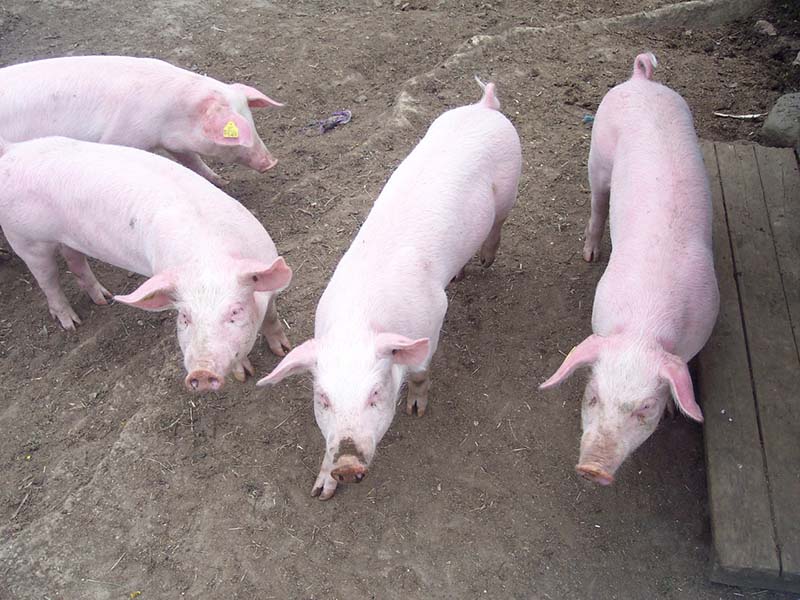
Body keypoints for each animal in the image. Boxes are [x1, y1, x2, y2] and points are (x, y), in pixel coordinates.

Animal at [0, 57, 282, 188]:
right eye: (236, 134)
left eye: (253, 123)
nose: (272, 162)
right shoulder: (121, 136)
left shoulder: (174, 142)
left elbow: (192, 160)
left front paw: (222, 182)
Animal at [0, 135, 294, 390]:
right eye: (184, 317)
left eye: (235, 311)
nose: (201, 371)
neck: (208, 257)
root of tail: (12, 150)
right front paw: (244, 374)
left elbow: (271, 317)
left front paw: (283, 349)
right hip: (26, 241)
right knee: (48, 281)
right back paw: (72, 323)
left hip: (68, 239)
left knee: (75, 260)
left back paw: (104, 298)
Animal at [253, 81, 520, 502]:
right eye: (323, 399)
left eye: (375, 394)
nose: (347, 465)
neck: (358, 320)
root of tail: (485, 106)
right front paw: (321, 491)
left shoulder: (433, 315)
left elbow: (421, 372)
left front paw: (416, 410)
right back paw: (461, 273)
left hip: (510, 185)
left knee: (498, 225)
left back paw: (487, 261)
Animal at [536, 52, 720, 488]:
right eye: (592, 396)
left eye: (645, 409)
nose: (592, 469)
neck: (643, 327)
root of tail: (641, 80)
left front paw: (673, 409)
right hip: (599, 156)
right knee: (597, 203)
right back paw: (589, 253)